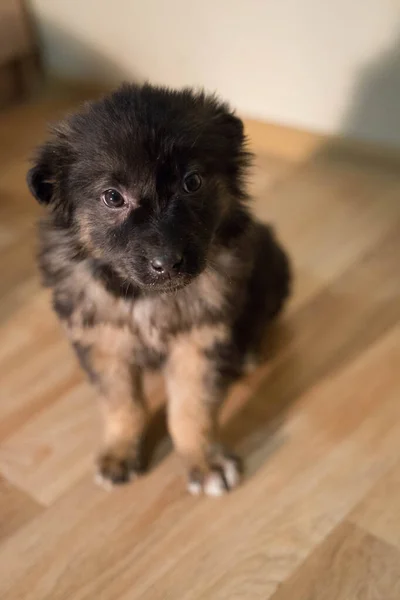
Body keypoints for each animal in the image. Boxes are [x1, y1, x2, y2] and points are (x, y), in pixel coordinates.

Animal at [28, 84, 290, 496]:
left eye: (192, 182)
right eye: (113, 197)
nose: (167, 263)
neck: (145, 298)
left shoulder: (200, 340)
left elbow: (191, 408)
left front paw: (205, 462)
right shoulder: (103, 342)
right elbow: (122, 405)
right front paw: (120, 453)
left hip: (273, 263)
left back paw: (247, 351)